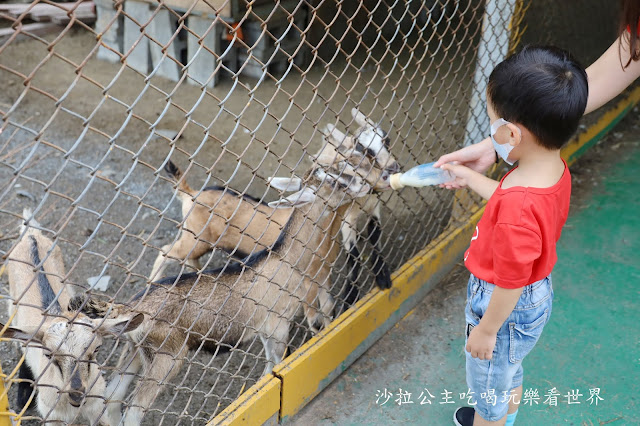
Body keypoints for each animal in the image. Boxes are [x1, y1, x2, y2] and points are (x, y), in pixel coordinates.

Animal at [0, 211, 142, 426]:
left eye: (96, 349)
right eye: (48, 354)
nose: (77, 394)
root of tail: (31, 235)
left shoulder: (97, 407)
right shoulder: (52, 416)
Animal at [75, 151, 384, 424]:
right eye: (338, 180)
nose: (370, 183)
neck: (284, 260)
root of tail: (132, 307)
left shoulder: (264, 328)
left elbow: (270, 365)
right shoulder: (279, 324)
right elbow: (283, 357)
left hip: (135, 351)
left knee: (112, 399)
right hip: (166, 356)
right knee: (134, 411)